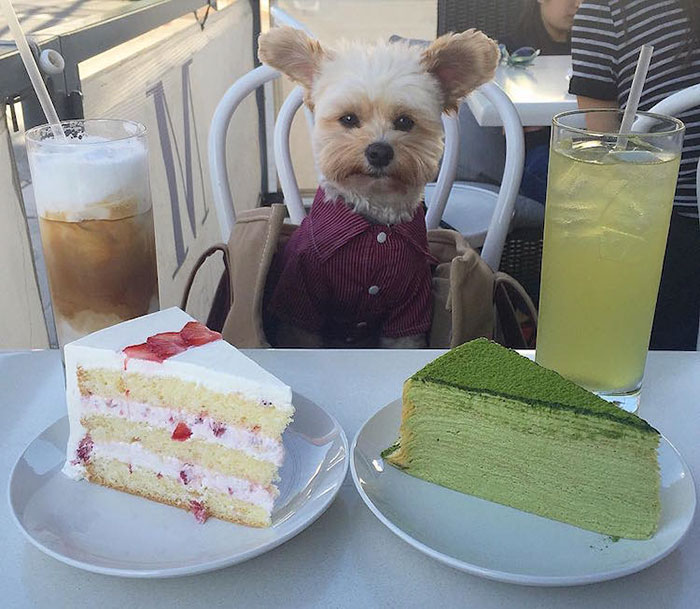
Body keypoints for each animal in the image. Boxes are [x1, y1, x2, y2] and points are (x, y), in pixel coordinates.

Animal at [258, 26, 498, 346]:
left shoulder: (411, 305)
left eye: (405, 121)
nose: (379, 152)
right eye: (348, 119)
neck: (376, 219)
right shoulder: (301, 303)